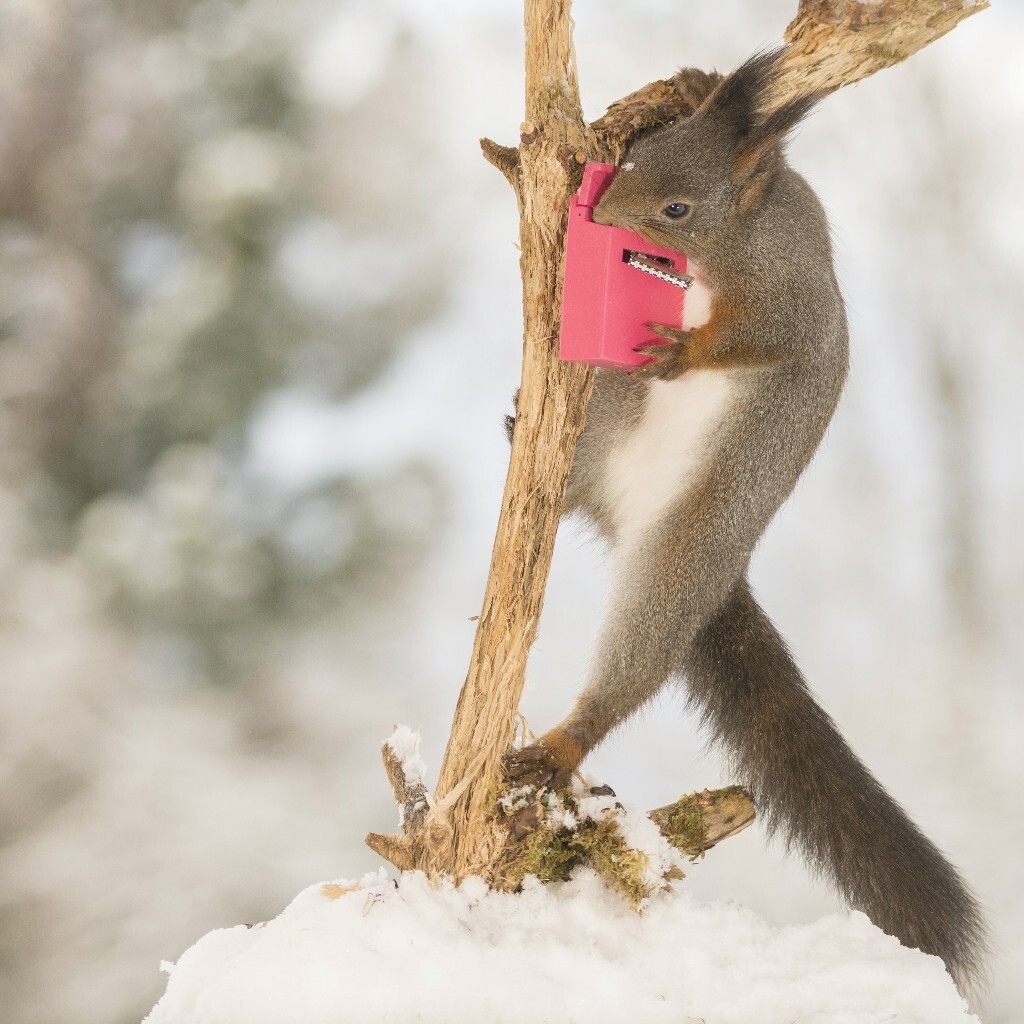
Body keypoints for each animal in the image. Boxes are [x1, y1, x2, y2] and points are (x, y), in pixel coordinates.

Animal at [503, 51, 983, 995]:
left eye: (677, 210)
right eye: (636, 154)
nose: (598, 212)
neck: (749, 231)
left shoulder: (792, 303)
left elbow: (755, 341)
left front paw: (691, 351)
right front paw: (697, 84)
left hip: (690, 547)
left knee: (638, 663)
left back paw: (566, 742)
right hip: (605, 409)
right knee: (576, 465)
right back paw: (532, 449)